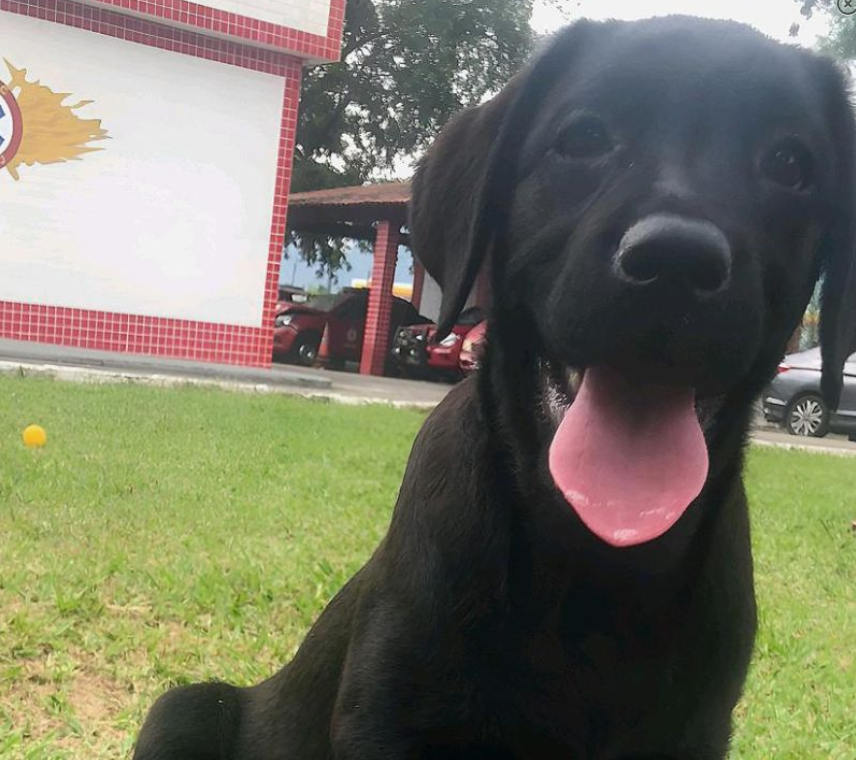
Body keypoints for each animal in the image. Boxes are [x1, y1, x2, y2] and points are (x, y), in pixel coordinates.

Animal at [134, 17, 856, 760]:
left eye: (790, 165)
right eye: (583, 138)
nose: (676, 264)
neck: (592, 563)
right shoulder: (392, 711)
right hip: (183, 709)